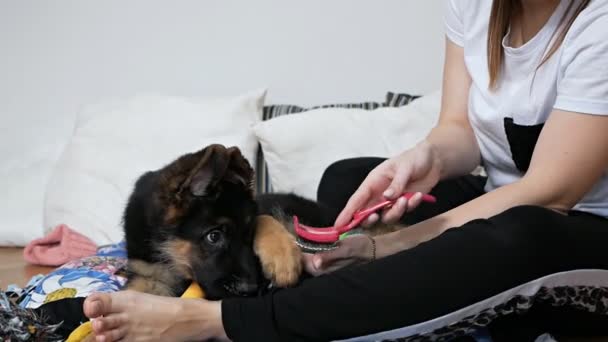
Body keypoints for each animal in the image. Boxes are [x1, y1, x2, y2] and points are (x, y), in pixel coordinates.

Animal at [123, 144, 306, 300]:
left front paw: (282, 255)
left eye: (249, 232)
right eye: (214, 236)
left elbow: (264, 217)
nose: (250, 291)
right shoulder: (148, 275)